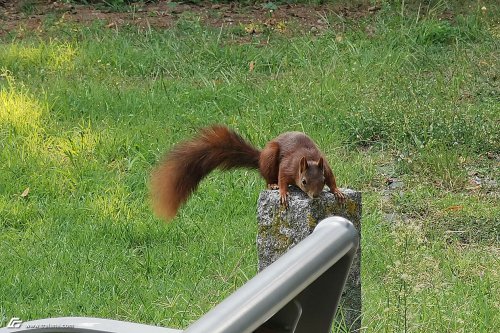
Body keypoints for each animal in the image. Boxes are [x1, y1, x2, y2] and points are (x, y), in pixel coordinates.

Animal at [151, 124, 344, 218]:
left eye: (322, 180)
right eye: (304, 181)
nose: (315, 195)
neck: (307, 159)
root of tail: (259, 159)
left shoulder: (325, 166)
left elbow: (332, 178)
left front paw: (337, 191)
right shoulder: (288, 167)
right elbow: (282, 177)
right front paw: (283, 193)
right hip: (269, 158)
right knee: (269, 177)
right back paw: (272, 185)